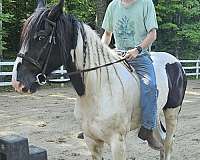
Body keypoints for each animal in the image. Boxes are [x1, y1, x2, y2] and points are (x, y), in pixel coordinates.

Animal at [11, 0, 187, 159]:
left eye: (41, 37)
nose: (17, 82)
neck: (99, 89)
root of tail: (177, 62)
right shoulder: (92, 141)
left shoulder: (118, 143)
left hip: (172, 113)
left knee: (168, 144)